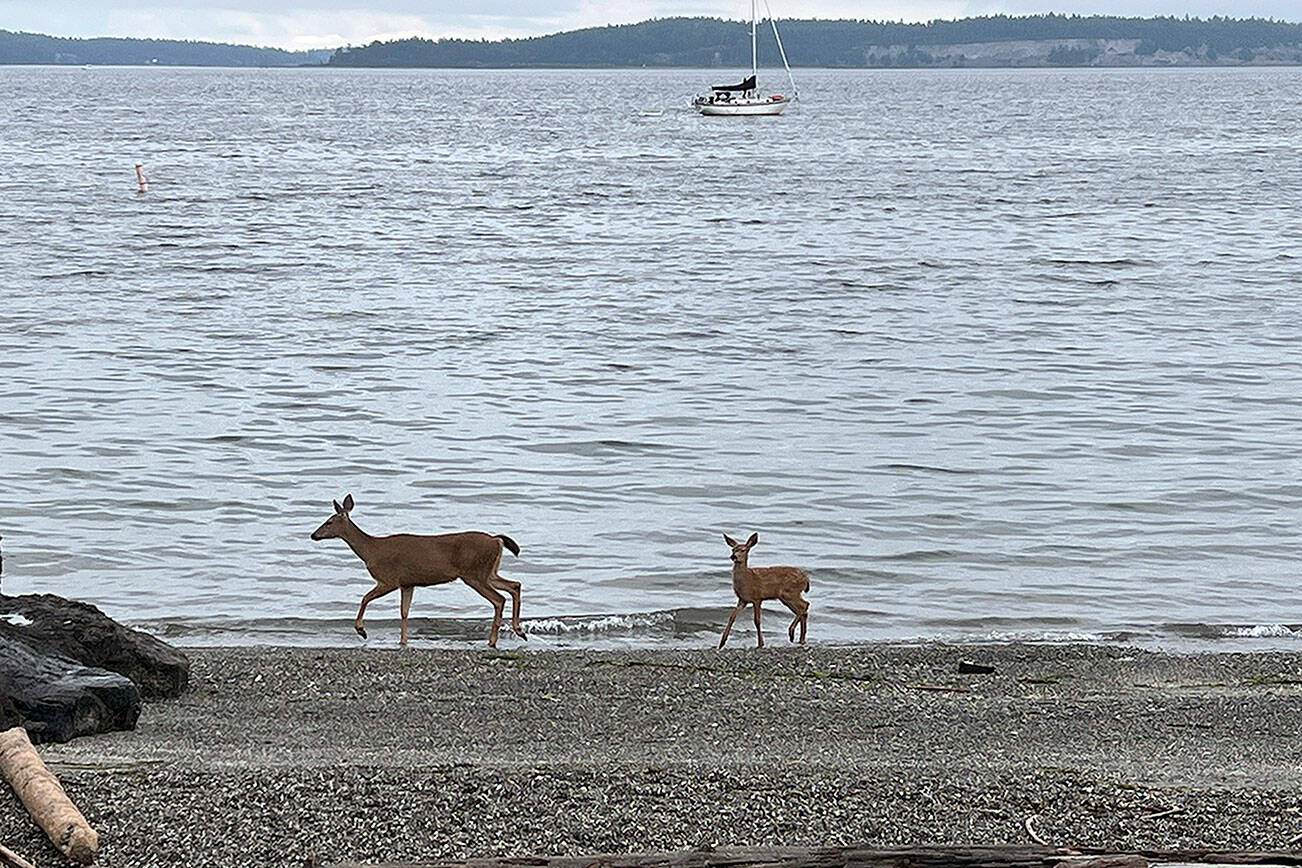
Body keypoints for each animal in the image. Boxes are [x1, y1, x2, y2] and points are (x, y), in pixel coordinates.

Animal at [309, 494, 525, 648]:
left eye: (329, 522)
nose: (313, 535)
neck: (371, 550)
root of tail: (496, 540)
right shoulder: (407, 583)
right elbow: (404, 612)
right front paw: (403, 641)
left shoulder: (389, 579)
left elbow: (365, 598)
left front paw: (361, 631)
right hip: (488, 572)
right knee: (515, 585)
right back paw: (519, 631)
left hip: (474, 573)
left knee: (499, 598)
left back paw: (493, 640)